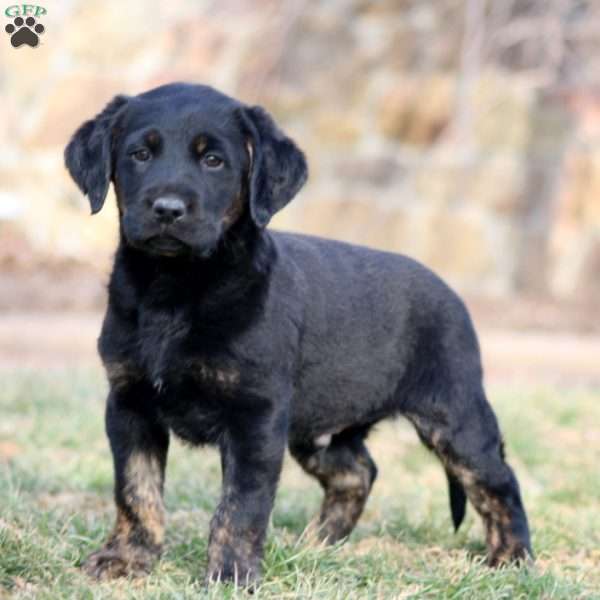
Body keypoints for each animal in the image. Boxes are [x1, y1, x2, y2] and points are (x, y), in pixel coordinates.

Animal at [65, 83, 532, 584]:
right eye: (140, 154)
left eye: (213, 160)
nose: (167, 209)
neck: (174, 288)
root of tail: (453, 295)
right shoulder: (129, 404)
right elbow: (136, 489)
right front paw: (127, 558)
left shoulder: (256, 416)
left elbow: (240, 505)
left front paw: (230, 575)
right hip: (316, 429)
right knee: (358, 471)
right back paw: (315, 544)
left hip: (454, 415)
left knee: (497, 479)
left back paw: (512, 558)